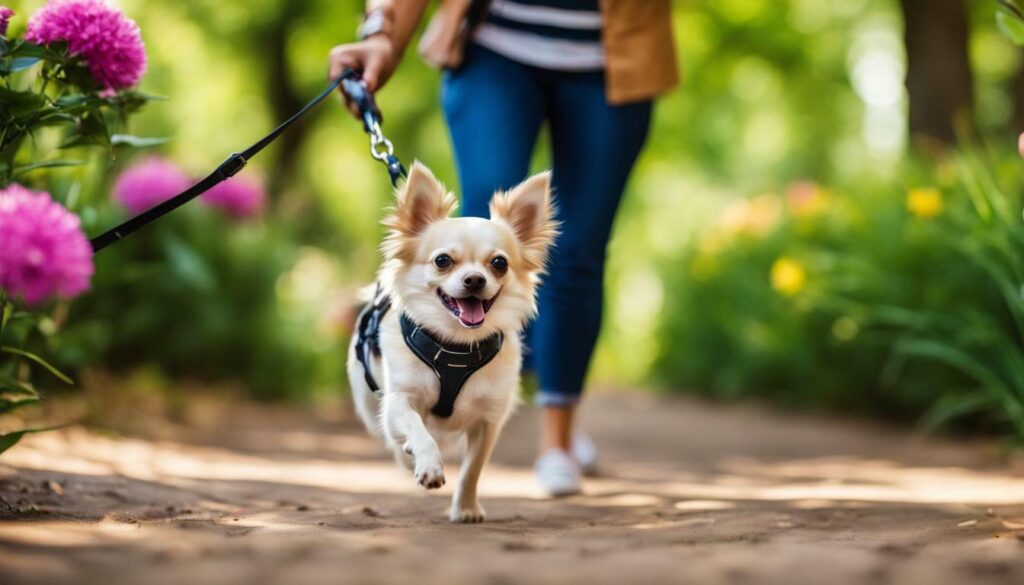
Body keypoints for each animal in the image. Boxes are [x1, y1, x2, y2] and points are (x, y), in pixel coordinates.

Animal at [350, 159, 561, 522]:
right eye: (442, 261)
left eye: (499, 263)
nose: (475, 279)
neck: (455, 348)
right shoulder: (398, 400)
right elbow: (416, 427)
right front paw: (429, 466)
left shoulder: (488, 422)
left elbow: (472, 470)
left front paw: (466, 507)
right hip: (369, 400)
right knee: (397, 438)